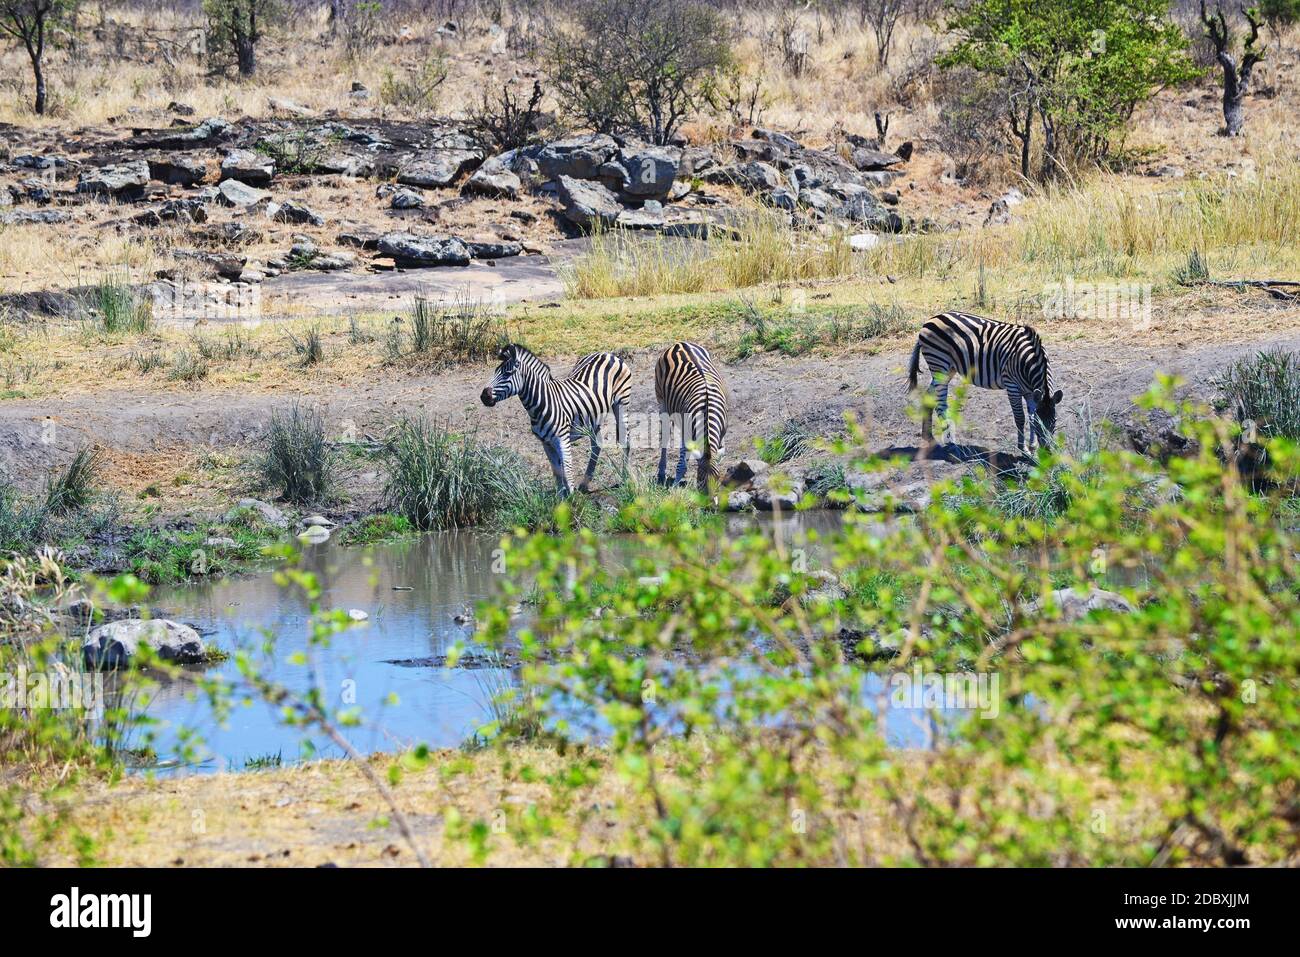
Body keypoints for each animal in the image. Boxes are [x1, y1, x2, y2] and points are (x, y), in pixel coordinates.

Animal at [483, 343, 634, 494]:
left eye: (507, 373)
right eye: (495, 371)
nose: (484, 396)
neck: (542, 403)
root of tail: (607, 354)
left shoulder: (563, 440)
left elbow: (567, 471)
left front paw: (573, 498)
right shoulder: (546, 443)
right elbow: (557, 472)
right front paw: (562, 498)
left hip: (621, 402)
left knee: (625, 441)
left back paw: (625, 478)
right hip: (593, 415)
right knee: (597, 445)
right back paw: (585, 484)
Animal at [655, 343, 728, 488]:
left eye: (717, 481)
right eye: (700, 482)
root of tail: (679, 343)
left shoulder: (722, 433)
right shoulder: (687, 431)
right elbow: (682, 463)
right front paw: (675, 485)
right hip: (662, 402)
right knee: (665, 437)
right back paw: (661, 474)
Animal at [909, 310, 1060, 452]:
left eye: (1055, 421)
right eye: (1041, 424)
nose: (1047, 452)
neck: (1027, 360)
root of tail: (930, 320)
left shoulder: (1030, 391)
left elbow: (1031, 416)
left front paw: (1032, 447)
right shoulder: (1012, 386)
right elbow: (1020, 418)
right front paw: (1023, 449)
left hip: (947, 370)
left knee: (928, 397)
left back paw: (929, 438)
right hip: (939, 365)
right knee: (940, 406)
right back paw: (952, 444)